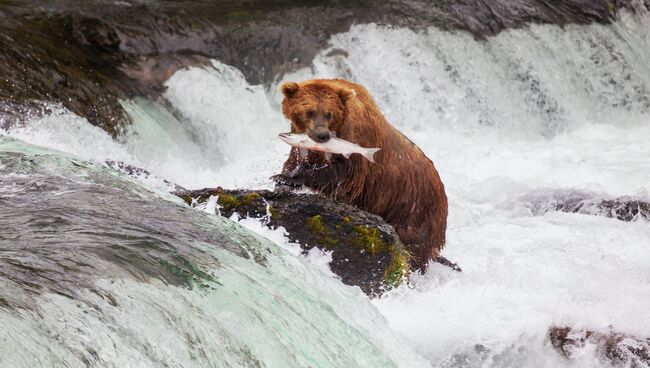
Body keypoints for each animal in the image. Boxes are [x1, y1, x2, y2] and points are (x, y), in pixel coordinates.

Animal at [274, 80, 446, 270]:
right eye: (309, 111)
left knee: (413, 246)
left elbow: (341, 173)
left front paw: (290, 178)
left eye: (329, 114)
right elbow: (293, 161)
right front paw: (282, 179)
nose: (322, 135)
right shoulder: (304, 148)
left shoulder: (356, 146)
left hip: (414, 209)